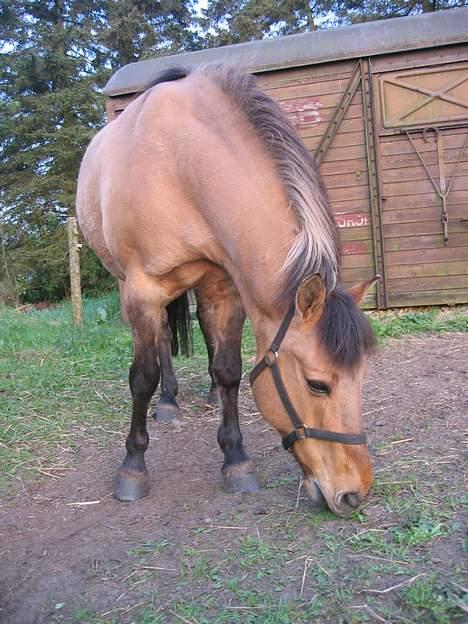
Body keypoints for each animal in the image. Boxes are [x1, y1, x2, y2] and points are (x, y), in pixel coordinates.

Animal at [77, 66, 376, 520]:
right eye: (317, 384)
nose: (354, 493)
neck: (180, 167)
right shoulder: (143, 290)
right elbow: (142, 377)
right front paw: (132, 467)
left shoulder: (226, 288)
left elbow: (229, 369)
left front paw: (236, 459)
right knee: (161, 339)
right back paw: (168, 403)